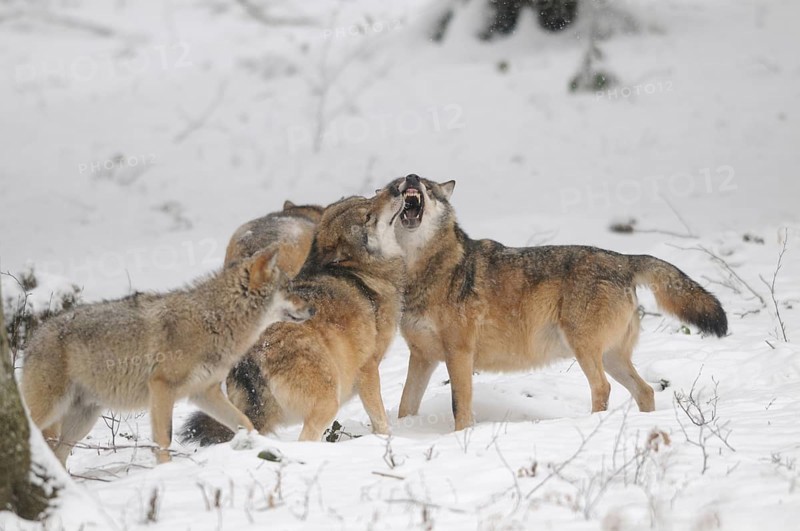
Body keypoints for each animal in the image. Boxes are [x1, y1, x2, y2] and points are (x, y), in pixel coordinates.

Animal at [21, 249, 313, 466]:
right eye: (288, 288)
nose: (313, 308)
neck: (214, 320)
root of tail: (33, 337)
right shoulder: (162, 388)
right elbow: (164, 439)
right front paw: (164, 471)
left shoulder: (204, 393)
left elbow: (246, 423)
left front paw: (257, 448)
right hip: (52, 411)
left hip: (82, 420)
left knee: (58, 456)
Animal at [180, 190, 405, 444]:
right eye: (367, 216)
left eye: (366, 198)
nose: (395, 189)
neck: (359, 272)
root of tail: (250, 358)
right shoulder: (369, 369)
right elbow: (380, 421)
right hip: (329, 402)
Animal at [382, 174, 727, 431]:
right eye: (395, 184)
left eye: (427, 187)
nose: (411, 177)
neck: (422, 270)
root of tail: (623, 259)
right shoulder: (422, 357)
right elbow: (404, 405)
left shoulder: (459, 353)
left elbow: (459, 406)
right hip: (611, 357)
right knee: (645, 390)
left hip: (585, 348)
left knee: (603, 388)